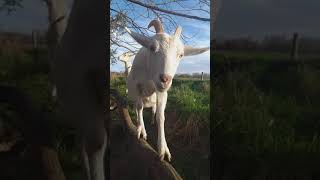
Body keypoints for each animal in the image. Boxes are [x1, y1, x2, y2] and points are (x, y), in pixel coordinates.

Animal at [125, 19, 210, 160]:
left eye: (181, 55)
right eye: (152, 48)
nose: (165, 79)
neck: (150, 77)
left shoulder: (162, 92)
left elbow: (161, 116)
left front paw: (163, 149)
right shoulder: (137, 87)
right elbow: (139, 108)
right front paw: (141, 131)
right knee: (137, 107)